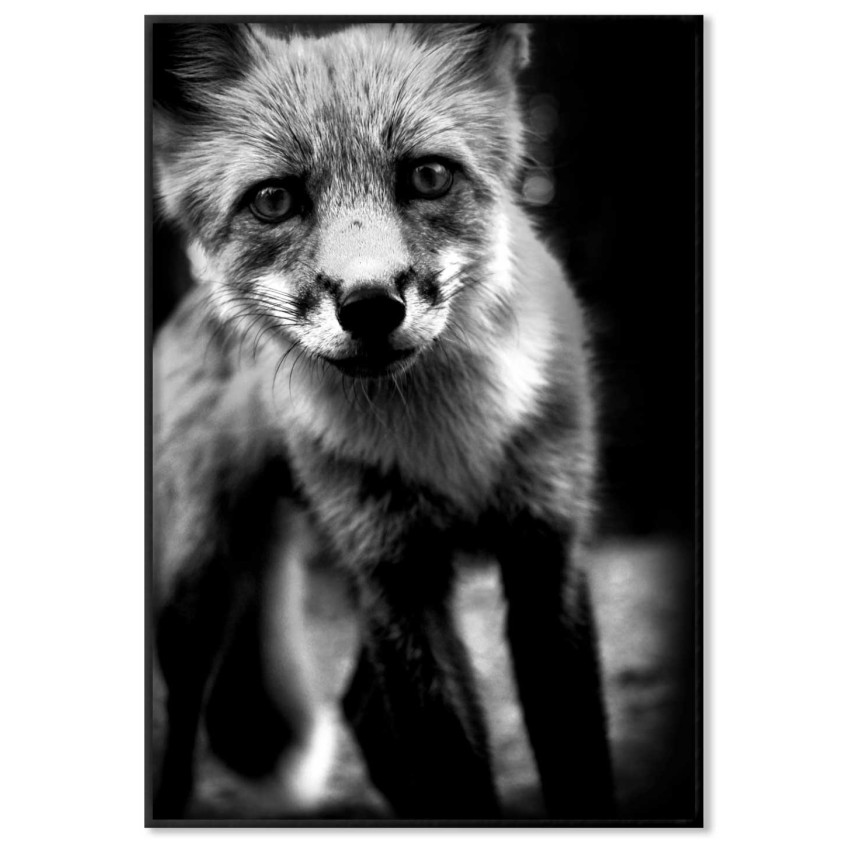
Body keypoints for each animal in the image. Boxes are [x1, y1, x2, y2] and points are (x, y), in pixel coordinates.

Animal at [151, 21, 615, 821]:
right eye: (274, 200)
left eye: (427, 177)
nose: (370, 306)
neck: (445, 445)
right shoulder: (396, 572)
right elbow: (452, 769)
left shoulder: (546, 548)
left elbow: (577, 758)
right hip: (201, 582)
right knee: (181, 723)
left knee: (359, 707)